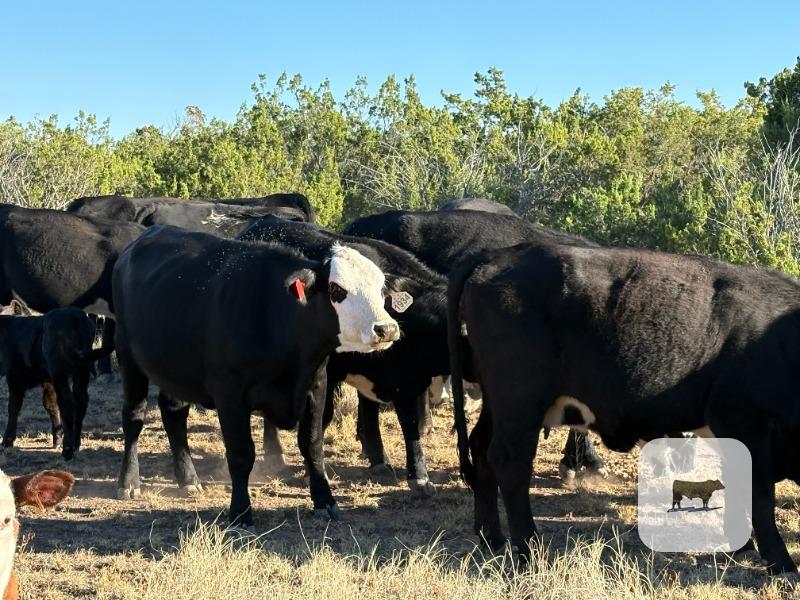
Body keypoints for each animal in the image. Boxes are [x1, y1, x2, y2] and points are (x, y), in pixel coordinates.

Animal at [0, 307, 108, 456]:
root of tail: (76, 315)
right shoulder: (48, 380)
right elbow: (50, 404)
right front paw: (56, 439)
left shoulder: (14, 374)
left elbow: (14, 406)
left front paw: (7, 440)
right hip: (81, 371)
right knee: (81, 401)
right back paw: (75, 444)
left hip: (60, 370)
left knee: (67, 402)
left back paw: (67, 450)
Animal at [112, 226, 399, 526]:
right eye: (337, 289)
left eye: (381, 289)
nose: (387, 329)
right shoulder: (230, 395)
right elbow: (241, 454)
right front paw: (240, 512)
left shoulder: (315, 386)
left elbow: (312, 445)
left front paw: (325, 501)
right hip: (127, 355)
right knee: (134, 417)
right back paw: (129, 482)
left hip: (175, 368)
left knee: (174, 413)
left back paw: (188, 479)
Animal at [238, 217, 451, 495]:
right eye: (338, 291)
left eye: (382, 291)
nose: (387, 329)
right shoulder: (326, 375)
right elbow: (321, 419)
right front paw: (314, 471)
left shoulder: (404, 380)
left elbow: (405, 423)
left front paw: (413, 474)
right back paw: (274, 454)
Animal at [448, 241, 800, 575]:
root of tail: (498, 255)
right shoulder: (745, 422)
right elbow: (759, 495)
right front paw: (780, 562)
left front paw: (743, 547)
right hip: (519, 401)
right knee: (510, 462)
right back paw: (529, 552)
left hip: (498, 403)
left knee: (481, 450)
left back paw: (493, 538)